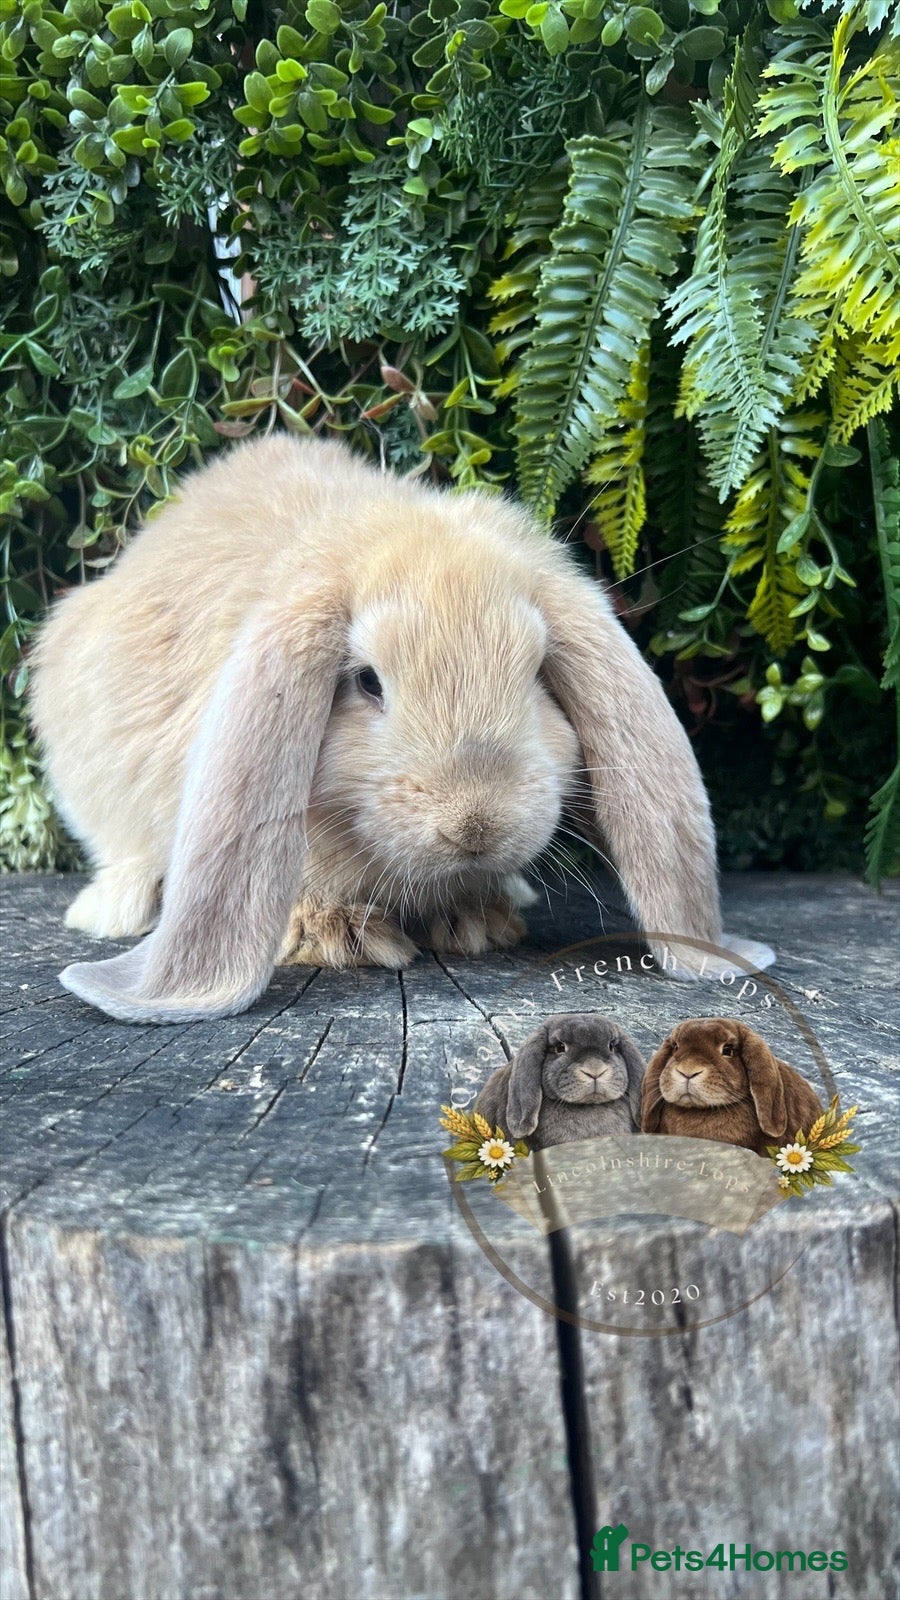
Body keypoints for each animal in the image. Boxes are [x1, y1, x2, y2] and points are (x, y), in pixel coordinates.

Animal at [29, 431, 774, 1023]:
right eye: (367, 681)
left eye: (538, 671)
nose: (477, 825)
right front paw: (341, 938)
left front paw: (476, 924)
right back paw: (113, 906)